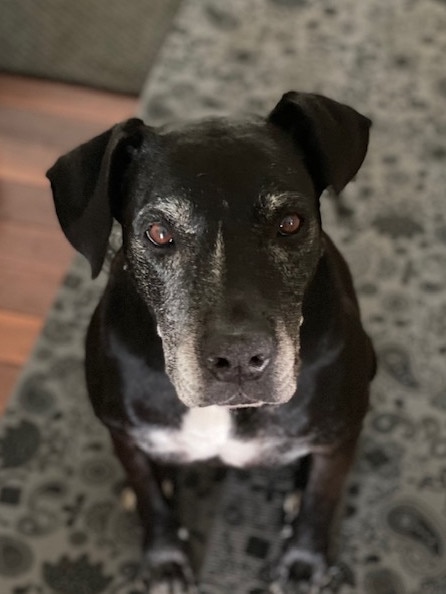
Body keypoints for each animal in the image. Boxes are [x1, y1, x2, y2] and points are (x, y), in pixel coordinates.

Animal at [48, 90, 376, 588]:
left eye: (290, 223)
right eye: (159, 233)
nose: (239, 358)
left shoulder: (340, 436)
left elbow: (320, 502)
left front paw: (303, 566)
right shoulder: (125, 435)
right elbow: (152, 498)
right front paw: (165, 560)